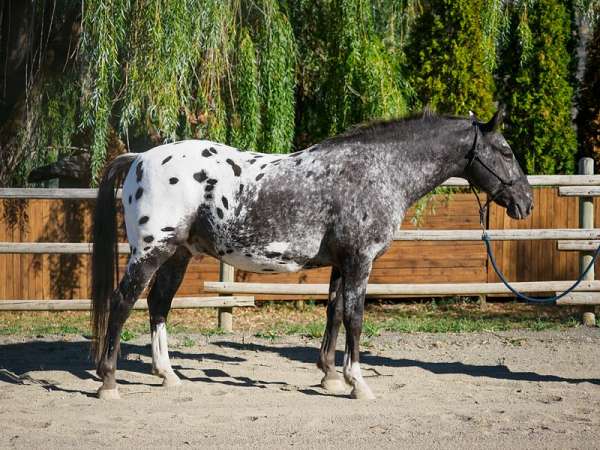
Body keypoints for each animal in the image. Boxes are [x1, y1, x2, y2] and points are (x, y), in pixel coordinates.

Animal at [91, 110, 532, 400]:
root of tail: (139, 158)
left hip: (177, 255)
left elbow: (334, 313)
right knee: (123, 302)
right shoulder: (359, 262)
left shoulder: (341, 264)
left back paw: (167, 374)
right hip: (152, 251)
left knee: (158, 305)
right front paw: (358, 383)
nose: (525, 203)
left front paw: (330, 376)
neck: (378, 169)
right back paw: (109, 381)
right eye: (506, 151)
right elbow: (355, 319)